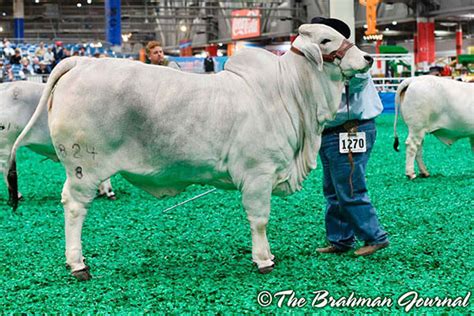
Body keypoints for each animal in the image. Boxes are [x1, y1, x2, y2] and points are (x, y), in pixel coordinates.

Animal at [5, 25, 374, 282]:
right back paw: (78, 264)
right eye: (326, 41)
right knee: (73, 207)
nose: (369, 58)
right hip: (83, 167)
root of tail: (79, 61)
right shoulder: (258, 174)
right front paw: (264, 259)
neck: (289, 94)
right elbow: (259, 219)